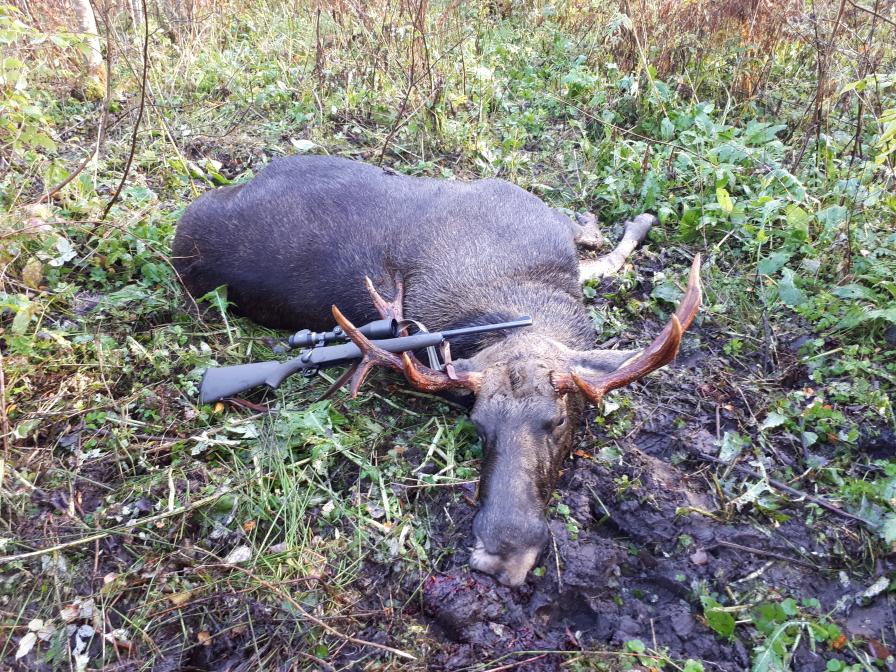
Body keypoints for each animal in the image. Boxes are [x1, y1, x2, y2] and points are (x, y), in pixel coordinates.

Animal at [173, 155, 701, 586]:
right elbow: (601, 243)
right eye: (478, 425)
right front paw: (636, 219)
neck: (525, 291)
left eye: (558, 419)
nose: (500, 557)